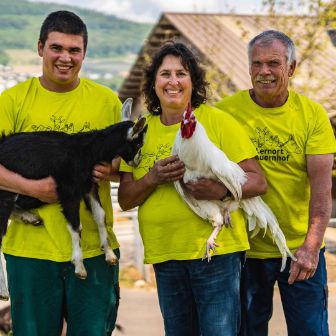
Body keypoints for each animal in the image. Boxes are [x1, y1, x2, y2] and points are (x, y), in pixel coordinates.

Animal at [0, 97, 147, 300]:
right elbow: (76, 227)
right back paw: (3, 291)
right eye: (138, 144)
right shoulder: (68, 191)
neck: (86, 151)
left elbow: (100, 216)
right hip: (7, 191)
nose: (137, 162)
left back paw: (31, 217)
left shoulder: (89, 186)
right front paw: (79, 266)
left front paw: (109, 254)